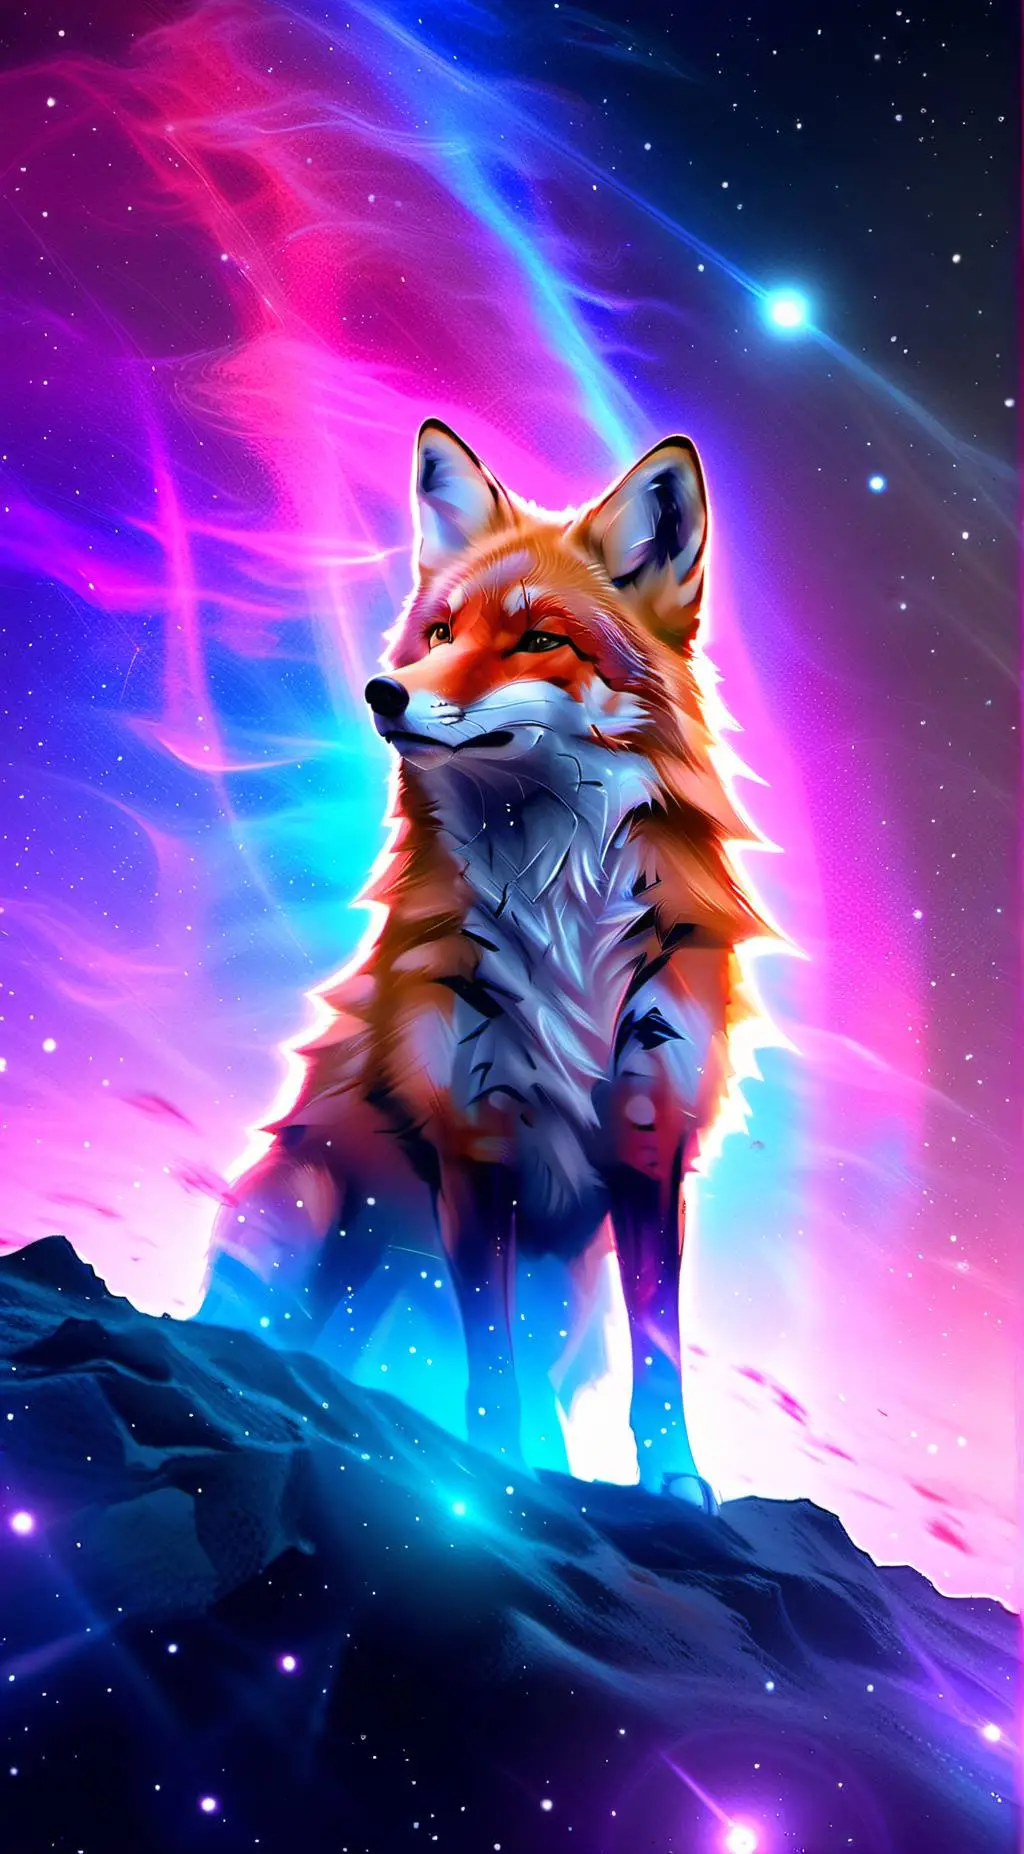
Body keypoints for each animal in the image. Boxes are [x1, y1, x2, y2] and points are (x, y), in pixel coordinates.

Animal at [203, 419, 780, 1507]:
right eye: (438, 635)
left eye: (541, 639)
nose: (383, 694)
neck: (559, 912)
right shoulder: (474, 1139)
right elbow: (490, 1365)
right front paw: (496, 1478)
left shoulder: (651, 1139)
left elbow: (658, 1351)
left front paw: (673, 1480)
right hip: (302, 1212)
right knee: (277, 1335)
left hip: (571, 1289)